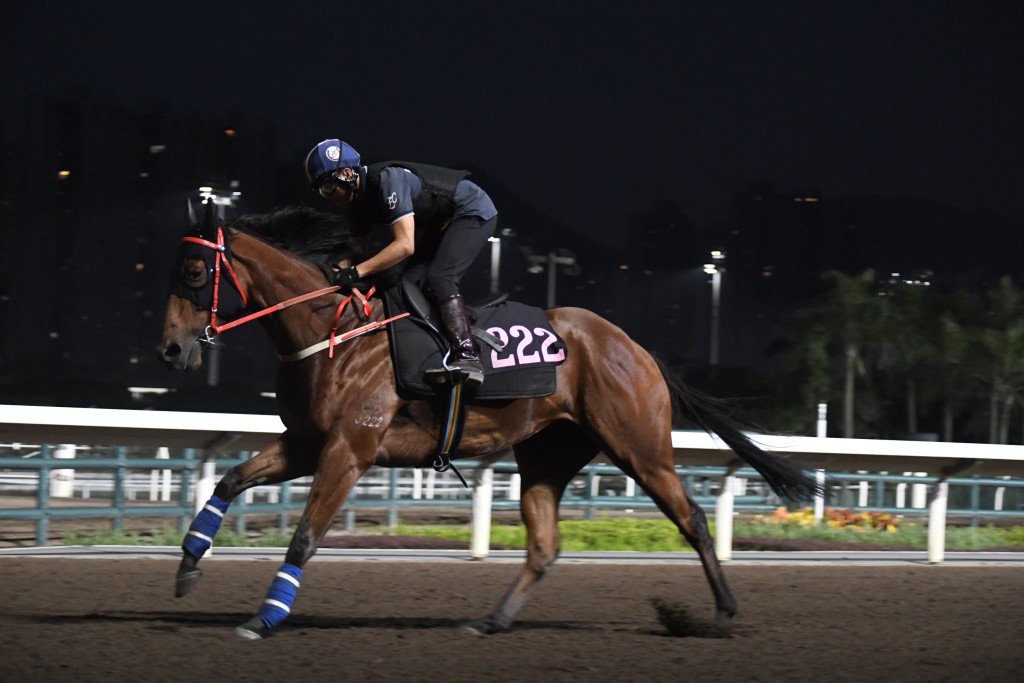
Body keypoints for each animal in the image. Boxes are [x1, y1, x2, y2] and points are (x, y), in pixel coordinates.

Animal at [155, 201, 819, 643]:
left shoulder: (350, 448)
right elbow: (229, 480)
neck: (331, 334)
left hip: (640, 446)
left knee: (693, 519)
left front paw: (265, 617)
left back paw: (725, 612)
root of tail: (637, 348)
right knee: (545, 545)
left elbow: (305, 536)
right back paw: (492, 620)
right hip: (548, 456)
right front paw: (188, 566)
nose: (170, 350)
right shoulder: (307, 442)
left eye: (194, 273)